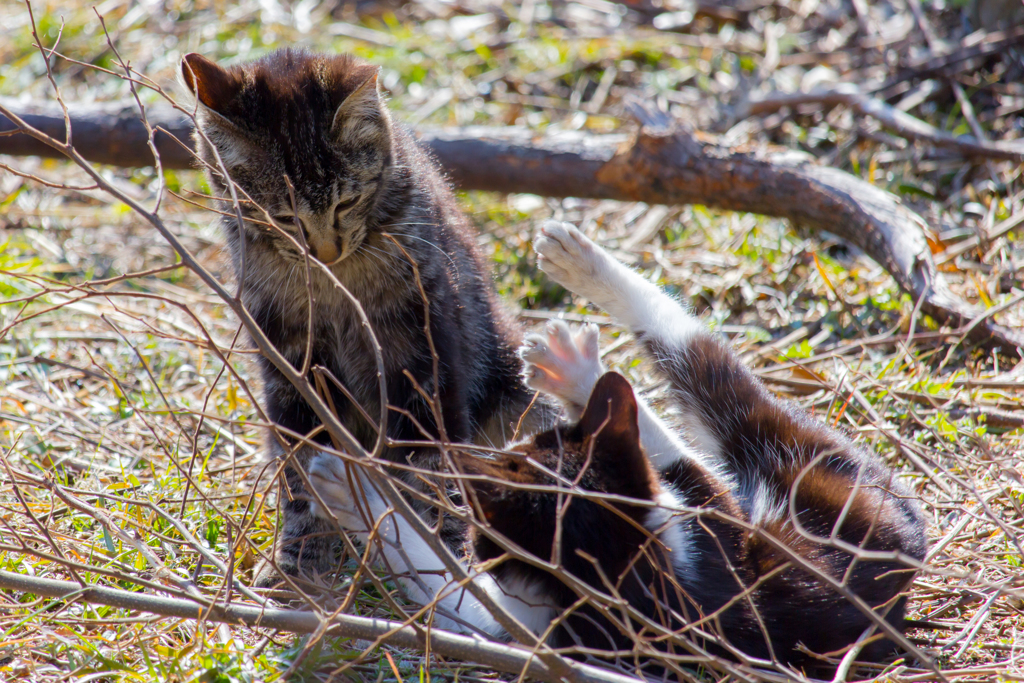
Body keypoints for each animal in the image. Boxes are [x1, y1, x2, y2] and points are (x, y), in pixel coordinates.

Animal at [305, 222, 929, 671]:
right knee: (677, 419)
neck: (631, 568)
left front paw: (352, 491)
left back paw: (579, 291)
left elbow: (438, 579)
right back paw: (578, 360)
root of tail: (911, 516)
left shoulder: (548, 631)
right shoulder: (701, 521)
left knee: (698, 359)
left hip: (778, 444)